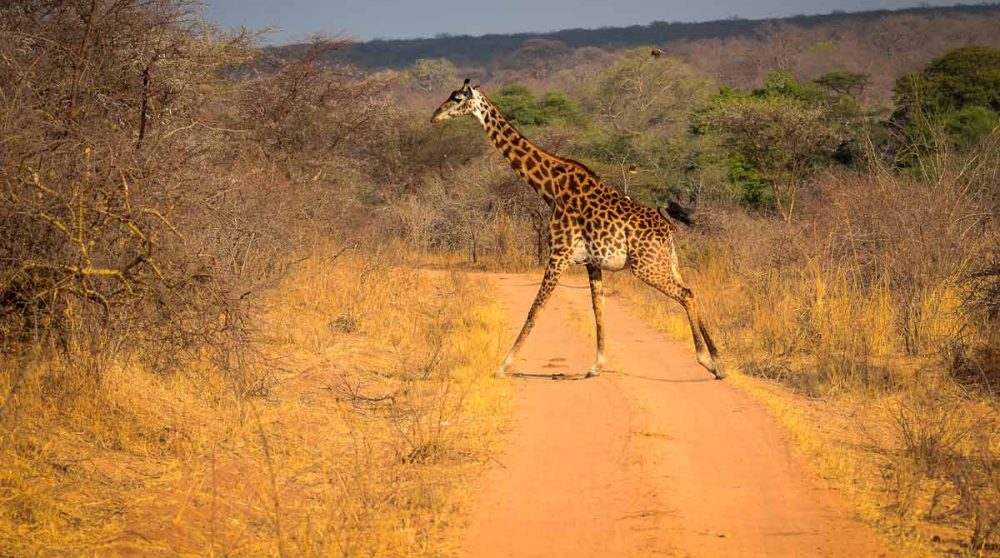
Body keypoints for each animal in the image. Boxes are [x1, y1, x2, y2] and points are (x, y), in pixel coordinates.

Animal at [431, 79, 724, 379]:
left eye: (457, 98)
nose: (434, 116)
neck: (551, 187)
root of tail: (667, 226)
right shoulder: (592, 262)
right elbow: (598, 309)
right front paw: (596, 366)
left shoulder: (559, 254)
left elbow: (535, 308)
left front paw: (503, 365)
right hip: (667, 261)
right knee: (691, 290)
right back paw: (717, 358)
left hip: (647, 266)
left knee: (686, 294)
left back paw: (707, 361)